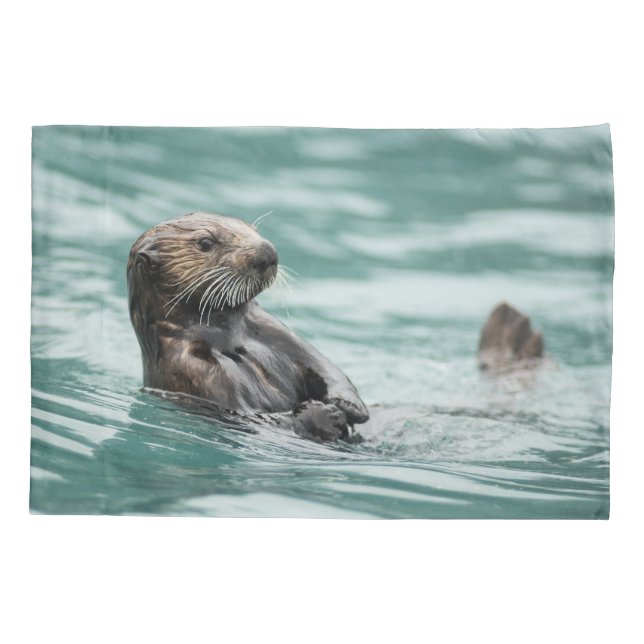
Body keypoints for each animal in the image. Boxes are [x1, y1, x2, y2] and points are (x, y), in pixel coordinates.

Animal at [127, 212, 369, 442]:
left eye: (252, 229)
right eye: (205, 243)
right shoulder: (193, 370)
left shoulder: (275, 331)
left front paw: (348, 405)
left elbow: (325, 366)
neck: (228, 337)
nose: (267, 252)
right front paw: (325, 414)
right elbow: (252, 417)